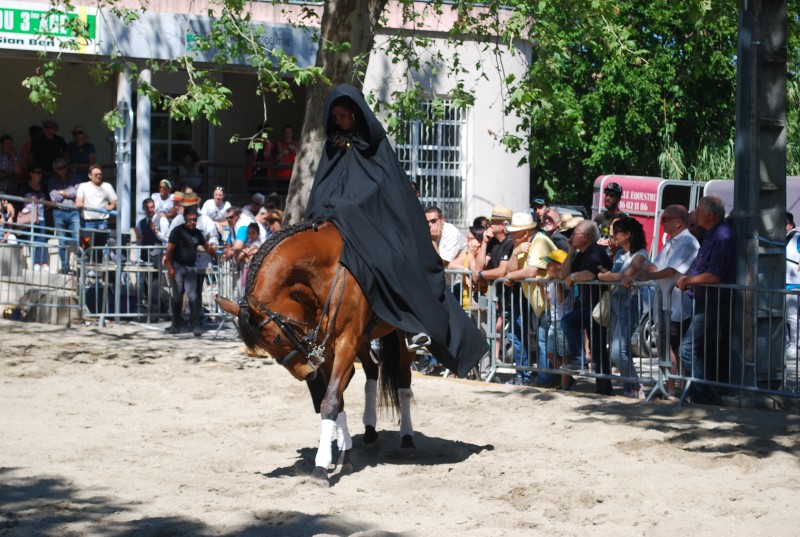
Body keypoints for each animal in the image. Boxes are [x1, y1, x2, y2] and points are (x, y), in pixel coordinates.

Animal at [216, 220, 418, 484]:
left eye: (277, 337)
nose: (304, 373)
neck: (326, 275)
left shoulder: (345, 343)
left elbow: (330, 400)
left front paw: (321, 467)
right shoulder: (327, 348)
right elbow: (337, 399)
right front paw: (345, 453)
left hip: (399, 334)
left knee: (403, 378)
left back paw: (407, 437)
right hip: (363, 340)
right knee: (372, 370)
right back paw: (370, 431)